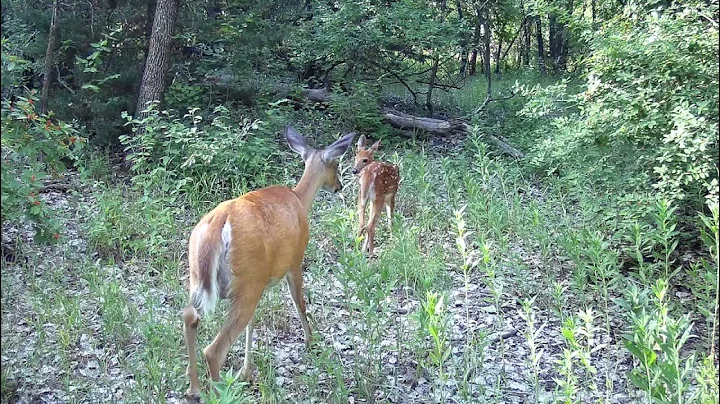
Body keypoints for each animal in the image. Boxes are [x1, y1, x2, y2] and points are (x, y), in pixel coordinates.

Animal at [183, 126, 354, 398]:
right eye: (336, 164)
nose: (338, 186)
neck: (299, 199)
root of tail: (218, 224)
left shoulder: (261, 281)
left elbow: (253, 324)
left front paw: (246, 371)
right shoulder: (295, 260)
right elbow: (299, 302)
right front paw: (311, 341)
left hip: (204, 277)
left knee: (190, 317)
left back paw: (194, 389)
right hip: (246, 281)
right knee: (213, 350)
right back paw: (220, 394)